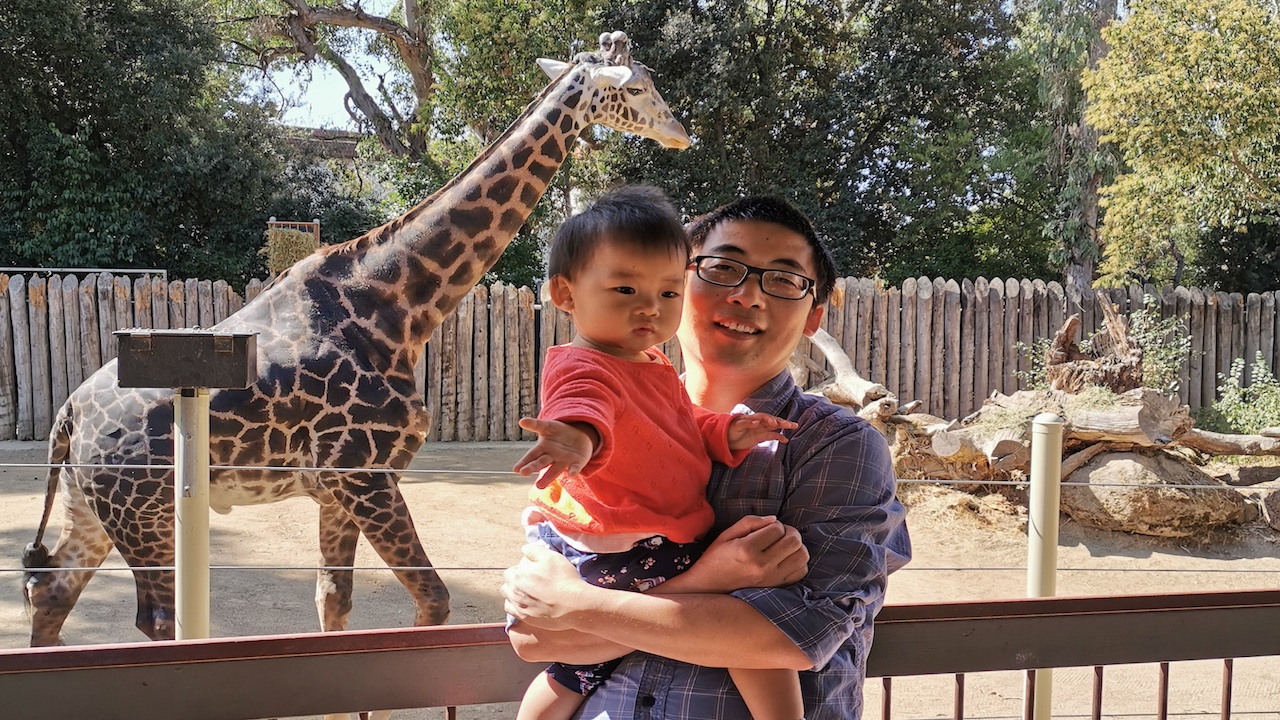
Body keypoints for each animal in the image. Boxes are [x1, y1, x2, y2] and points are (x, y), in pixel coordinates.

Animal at [20, 29, 691, 645]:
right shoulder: (364, 474)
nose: (680, 133)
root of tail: (68, 414)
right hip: (145, 511)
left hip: (94, 508)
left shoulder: (336, 489)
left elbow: (333, 601)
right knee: (155, 619)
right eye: (637, 87)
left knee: (52, 591)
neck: (399, 307)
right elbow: (434, 600)